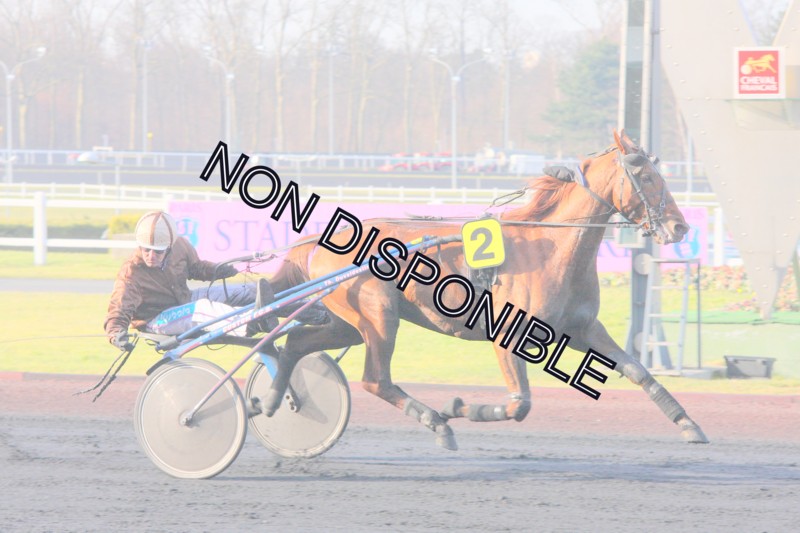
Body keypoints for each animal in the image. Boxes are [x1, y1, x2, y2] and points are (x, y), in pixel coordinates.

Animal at [264, 130, 709, 449]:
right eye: (646, 176)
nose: (680, 227)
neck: (553, 248)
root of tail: (318, 240)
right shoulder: (510, 335)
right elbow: (519, 404)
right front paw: (456, 406)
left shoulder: (584, 329)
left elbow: (638, 371)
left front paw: (688, 423)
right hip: (377, 315)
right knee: (375, 379)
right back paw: (436, 422)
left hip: (349, 322)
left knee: (298, 343)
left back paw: (270, 399)